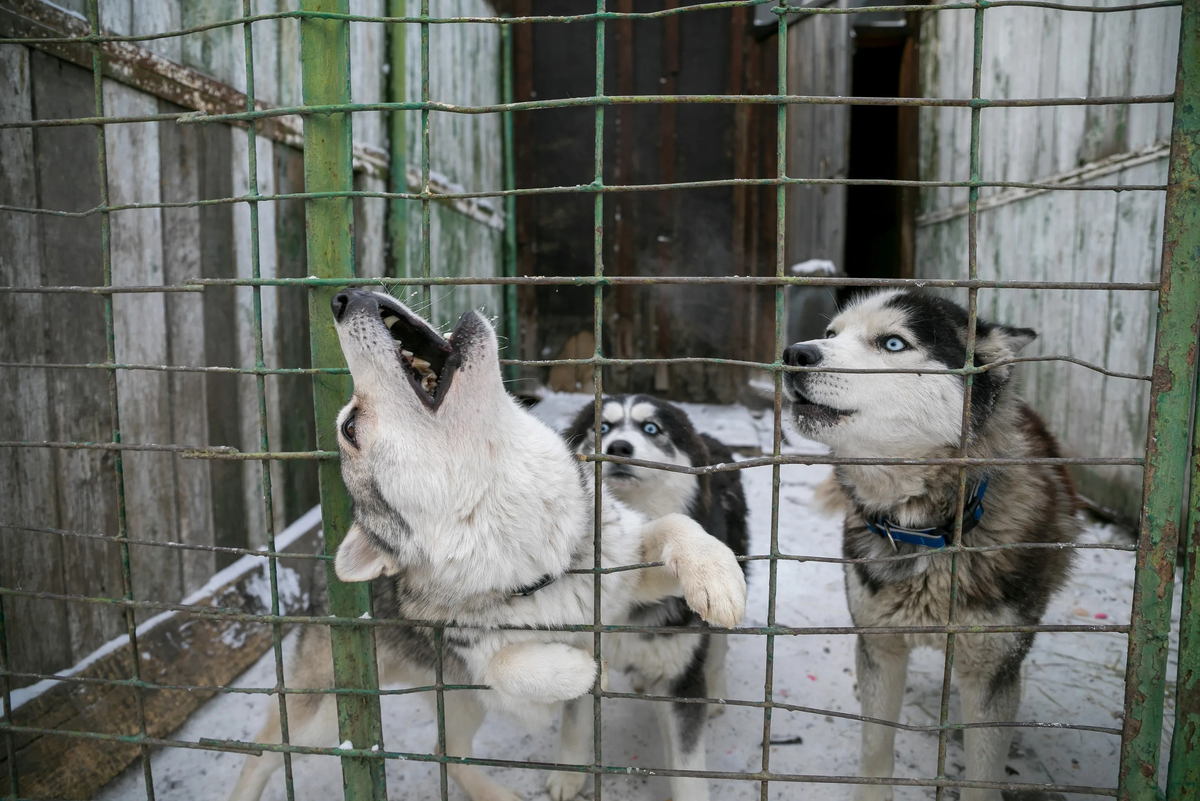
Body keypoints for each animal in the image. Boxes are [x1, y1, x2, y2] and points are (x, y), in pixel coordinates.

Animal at [561, 398, 748, 801]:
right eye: (602, 426)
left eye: (651, 428)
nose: (618, 447)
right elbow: (574, 719)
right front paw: (569, 774)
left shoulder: (683, 682)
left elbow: (687, 765)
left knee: (718, 647)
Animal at [782, 291, 1084, 801]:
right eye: (831, 334)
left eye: (893, 342)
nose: (793, 354)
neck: (925, 530)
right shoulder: (880, 646)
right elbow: (876, 753)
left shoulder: (991, 673)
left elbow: (983, 777)